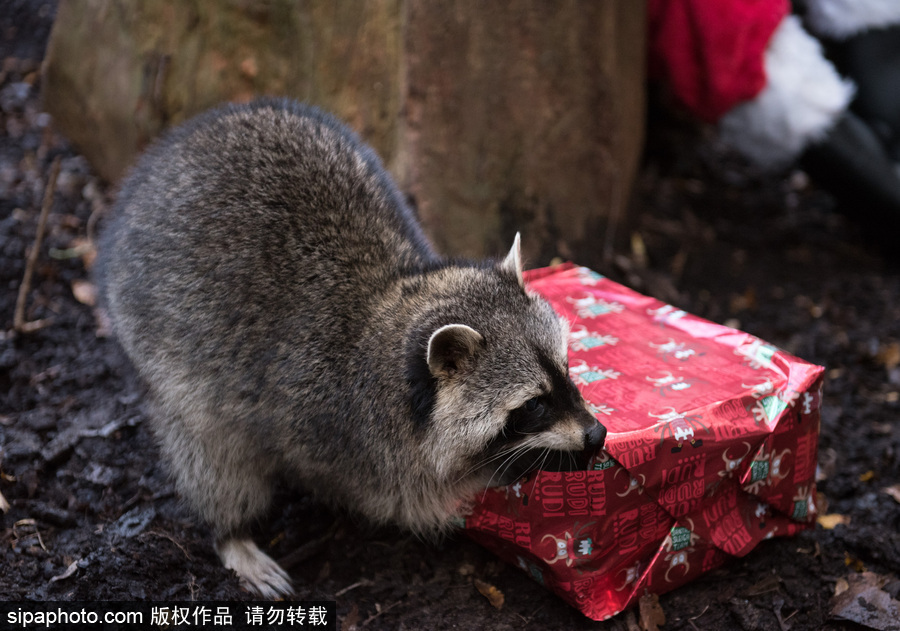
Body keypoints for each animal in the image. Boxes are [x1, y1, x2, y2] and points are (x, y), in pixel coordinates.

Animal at [96, 99, 604, 596]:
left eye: (566, 368)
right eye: (533, 404)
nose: (597, 434)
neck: (397, 309)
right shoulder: (335, 430)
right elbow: (409, 495)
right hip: (158, 346)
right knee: (211, 450)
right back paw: (231, 531)